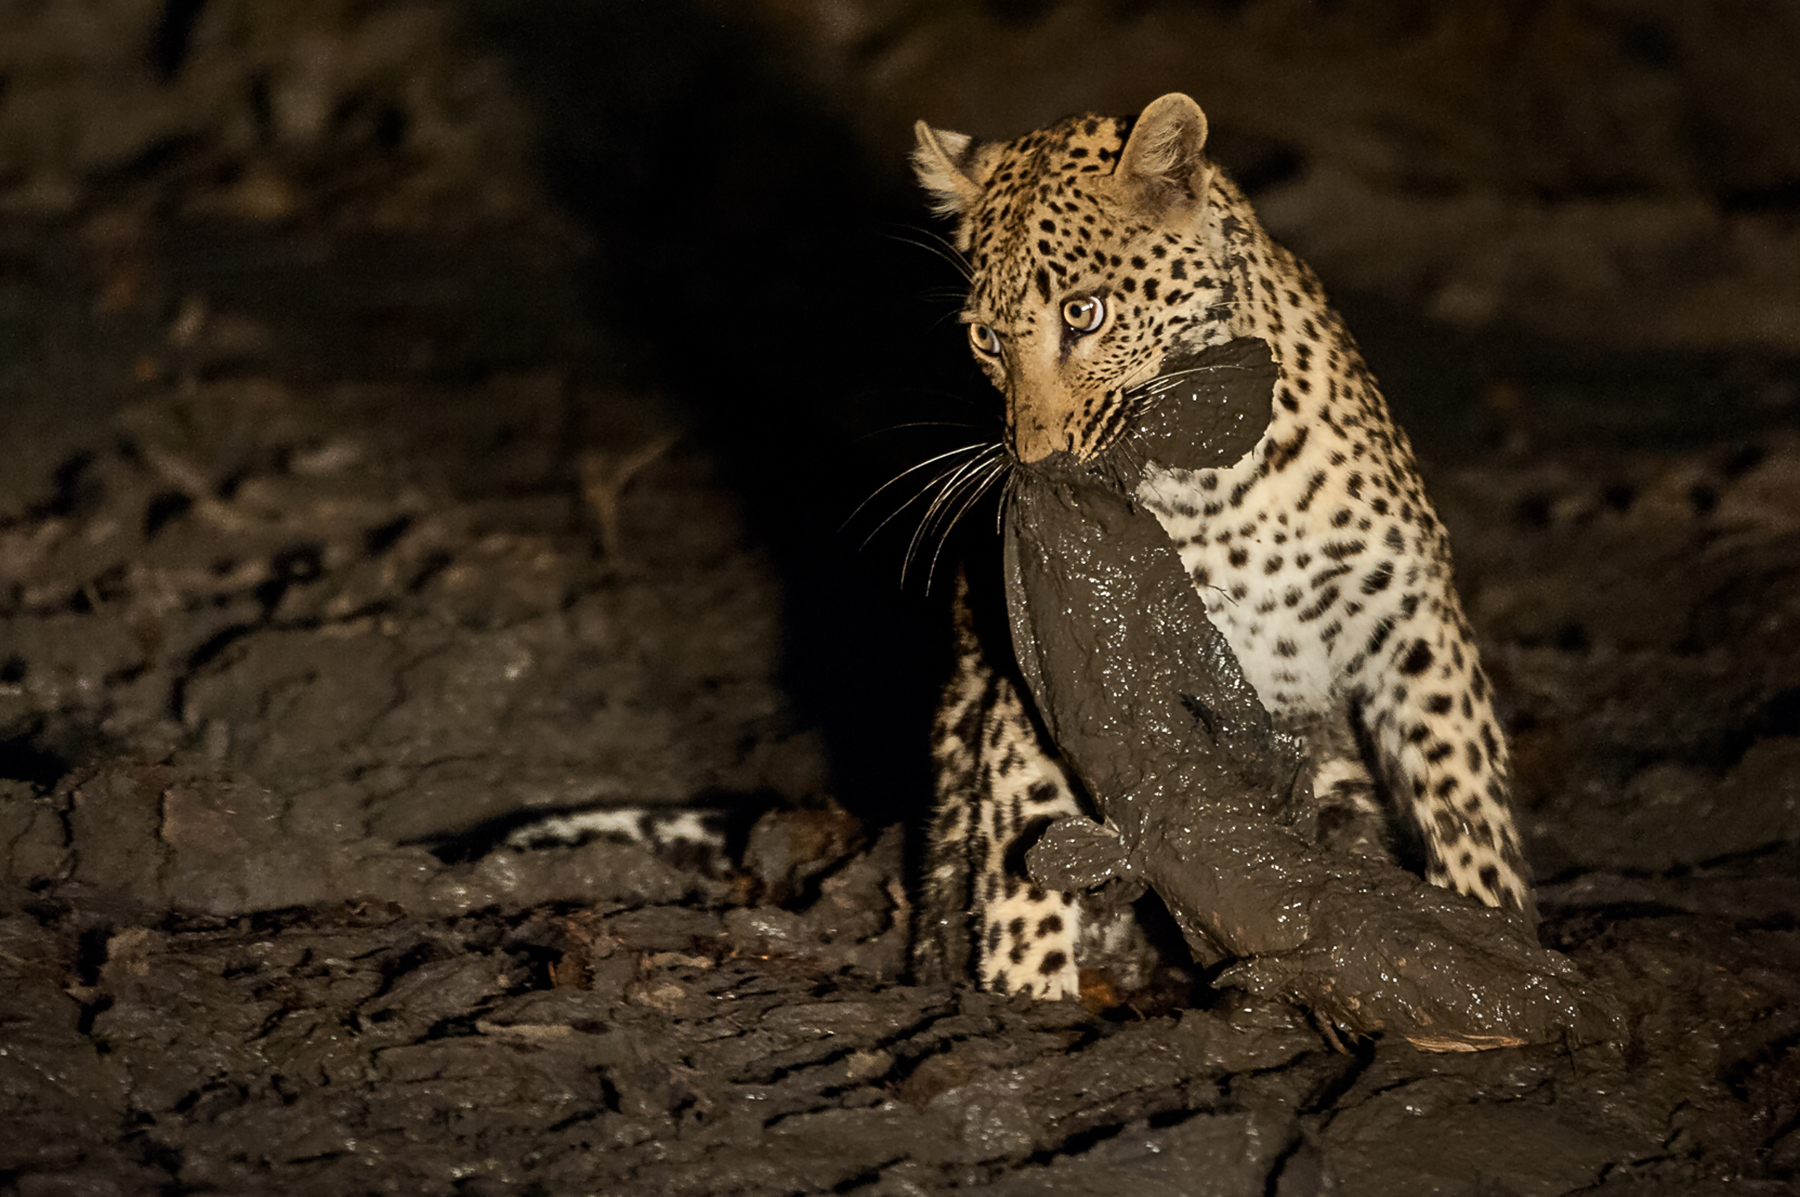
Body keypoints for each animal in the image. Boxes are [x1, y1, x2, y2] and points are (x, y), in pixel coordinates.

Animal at [909, 93, 1533, 1003]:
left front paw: (1499, 942)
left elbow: (1465, 795)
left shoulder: (1411, 616)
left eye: (1084, 313)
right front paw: (1030, 1005)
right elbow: (1024, 872)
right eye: (987, 339)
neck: (1214, 477)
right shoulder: (1059, 690)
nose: (1034, 457)